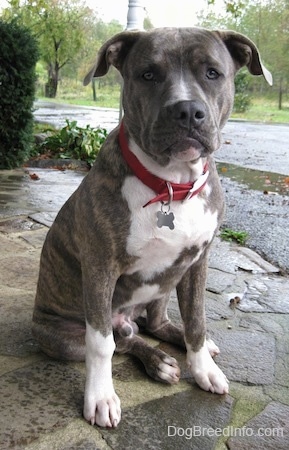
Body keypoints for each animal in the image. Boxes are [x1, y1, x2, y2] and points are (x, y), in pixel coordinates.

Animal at [32, 26, 272, 428]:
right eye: (148, 74)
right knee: (122, 340)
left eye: (212, 72)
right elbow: (102, 345)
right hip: (58, 335)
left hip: (166, 284)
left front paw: (203, 368)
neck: (172, 185)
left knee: (156, 325)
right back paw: (157, 361)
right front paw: (101, 397)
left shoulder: (198, 261)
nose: (187, 110)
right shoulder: (100, 267)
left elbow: (196, 321)